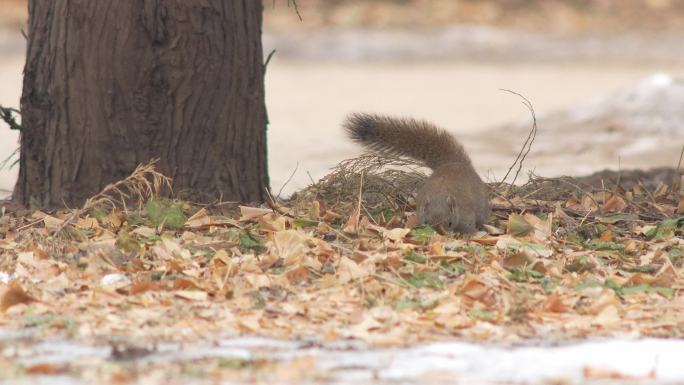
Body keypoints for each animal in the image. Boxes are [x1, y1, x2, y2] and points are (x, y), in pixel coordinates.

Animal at [344, 112, 488, 232]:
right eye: (426, 221)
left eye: (450, 223)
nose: (438, 233)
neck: (441, 194)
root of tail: (454, 163)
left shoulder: (465, 214)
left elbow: (468, 226)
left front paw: (468, 234)